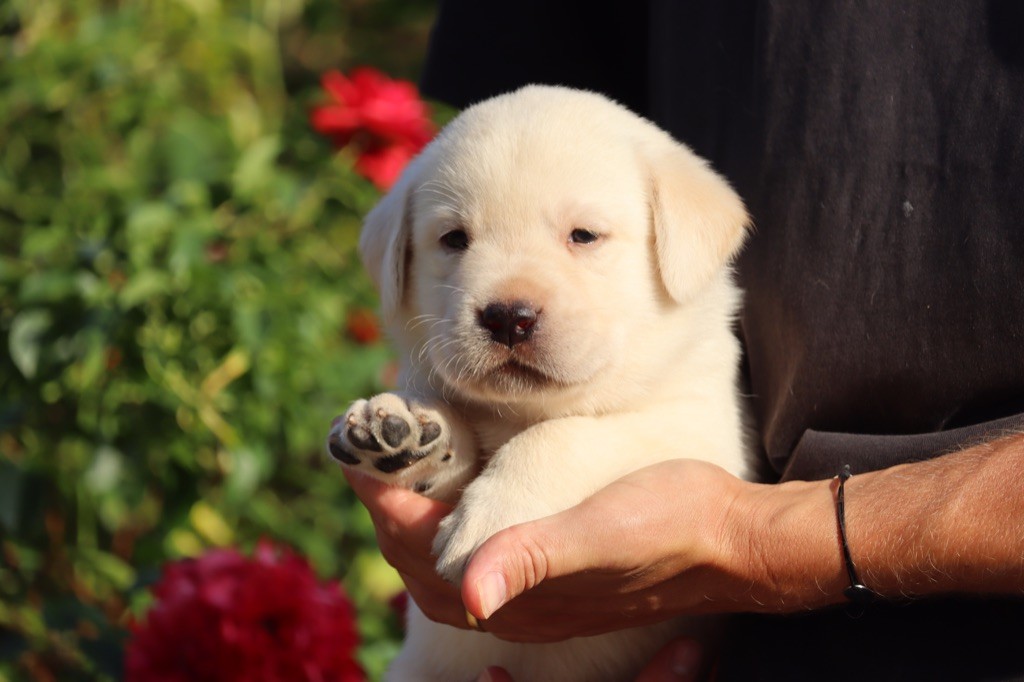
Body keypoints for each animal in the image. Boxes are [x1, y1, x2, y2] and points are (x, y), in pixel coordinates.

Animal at [327, 84, 753, 679]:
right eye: (454, 239)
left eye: (584, 236)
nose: (508, 317)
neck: (525, 411)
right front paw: (406, 433)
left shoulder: (703, 437)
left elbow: (571, 435)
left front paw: (494, 513)